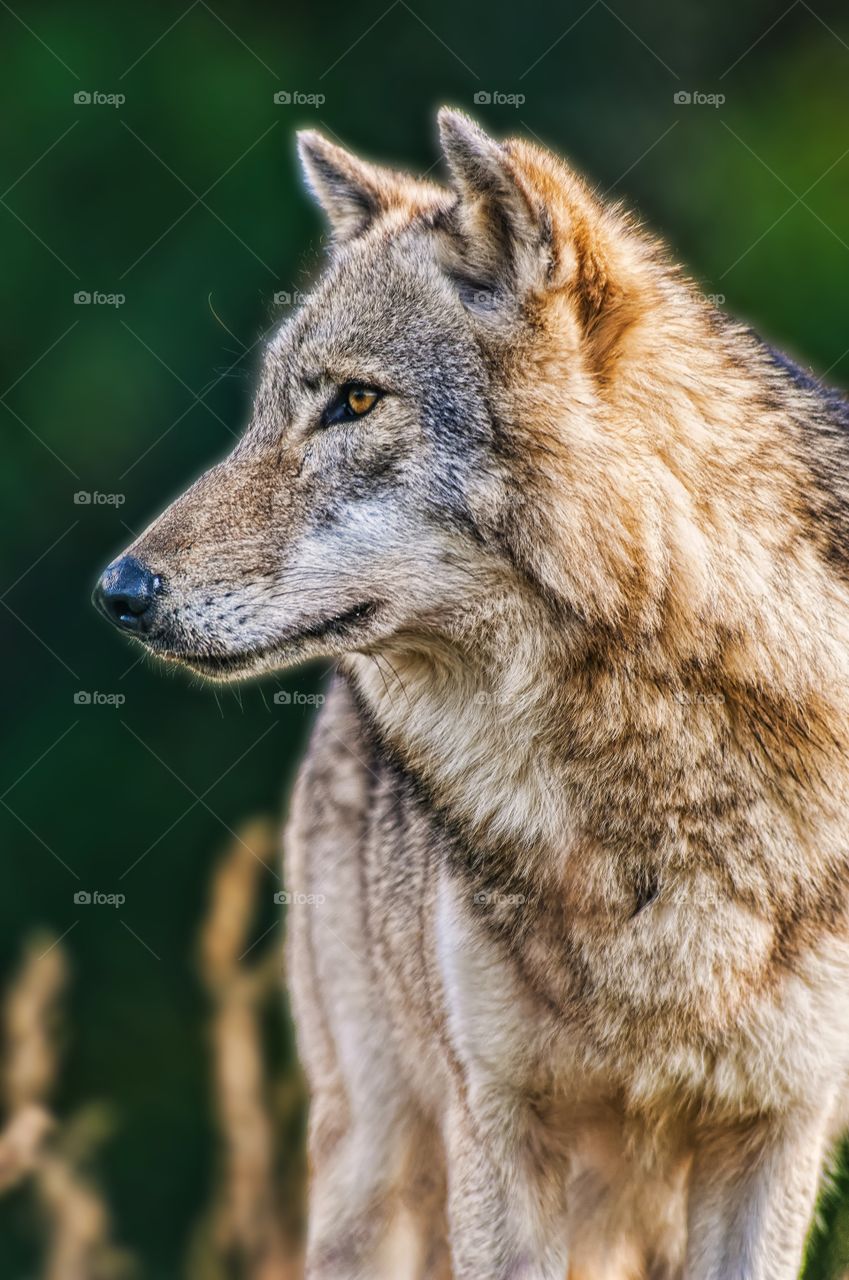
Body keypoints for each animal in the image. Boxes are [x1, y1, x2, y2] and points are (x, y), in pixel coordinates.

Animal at [94, 109, 849, 1279]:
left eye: (354, 400)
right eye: (266, 411)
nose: (119, 591)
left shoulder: (778, 1129)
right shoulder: (498, 1122)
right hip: (376, 1166)